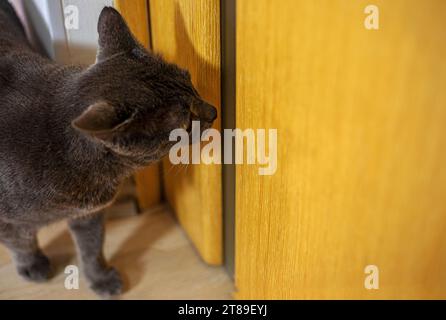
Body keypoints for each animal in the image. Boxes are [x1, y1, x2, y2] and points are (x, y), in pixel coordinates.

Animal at [0, 3, 216, 298]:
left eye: (190, 80)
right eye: (184, 124)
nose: (213, 111)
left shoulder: (89, 215)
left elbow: (92, 246)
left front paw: (100, 278)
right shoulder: (7, 220)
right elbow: (20, 241)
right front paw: (33, 265)